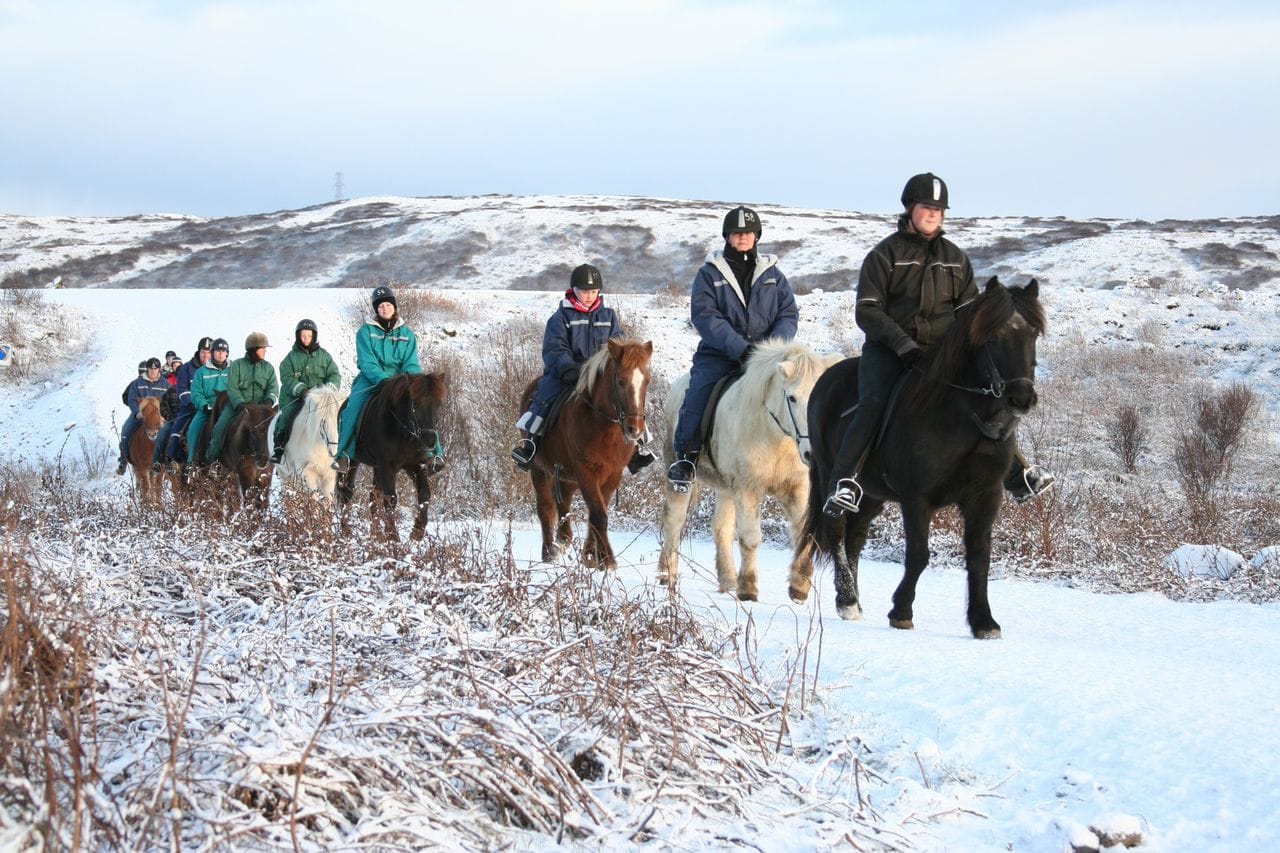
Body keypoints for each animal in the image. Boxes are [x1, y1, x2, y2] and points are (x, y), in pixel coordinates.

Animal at [335, 372, 447, 542]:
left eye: (439, 404)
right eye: (415, 404)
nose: (429, 440)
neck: (404, 433)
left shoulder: (417, 465)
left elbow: (424, 494)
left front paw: (417, 531)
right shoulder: (387, 467)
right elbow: (390, 499)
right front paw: (393, 536)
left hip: (377, 468)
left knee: (373, 498)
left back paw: (375, 535)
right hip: (353, 461)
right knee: (346, 493)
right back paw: (346, 531)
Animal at [519, 338, 653, 569]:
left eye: (646, 382)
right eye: (620, 381)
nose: (634, 429)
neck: (604, 427)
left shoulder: (612, 474)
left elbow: (596, 514)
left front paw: (590, 556)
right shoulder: (586, 472)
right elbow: (599, 515)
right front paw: (607, 560)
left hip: (566, 476)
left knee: (563, 505)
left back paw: (564, 539)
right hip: (539, 469)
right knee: (545, 509)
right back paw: (549, 553)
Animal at [658, 339, 840, 600]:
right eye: (792, 398)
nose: (812, 454)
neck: (776, 438)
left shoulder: (797, 488)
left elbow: (805, 534)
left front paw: (799, 586)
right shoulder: (748, 488)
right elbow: (750, 538)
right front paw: (748, 588)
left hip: (726, 488)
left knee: (721, 527)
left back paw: (727, 579)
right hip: (680, 475)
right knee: (674, 522)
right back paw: (667, 574)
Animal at [789, 277, 1046, 639]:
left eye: (1033, 333)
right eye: (993, 335)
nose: (1021, 398)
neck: (963, 420)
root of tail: (826, 378)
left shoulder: (985, 497)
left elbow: (980, 556)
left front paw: (983, 621)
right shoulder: (917, 498)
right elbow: (919, 555)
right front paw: (901, 611)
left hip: (871, 493)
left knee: (855, 537)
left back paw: (852, 600)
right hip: (830, 475)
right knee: (837, 528)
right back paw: (848, 600)